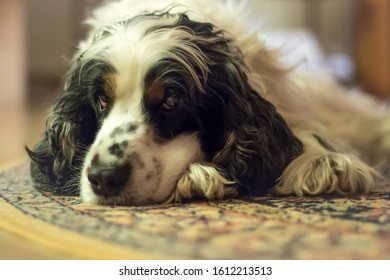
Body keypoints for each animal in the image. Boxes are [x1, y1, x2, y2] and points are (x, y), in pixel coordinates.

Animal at [26, 0, 386, 206]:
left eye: (171, 102)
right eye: (101, 100)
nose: (103, 178)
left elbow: (305, 128)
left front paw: (323, 161)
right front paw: (199, 175)